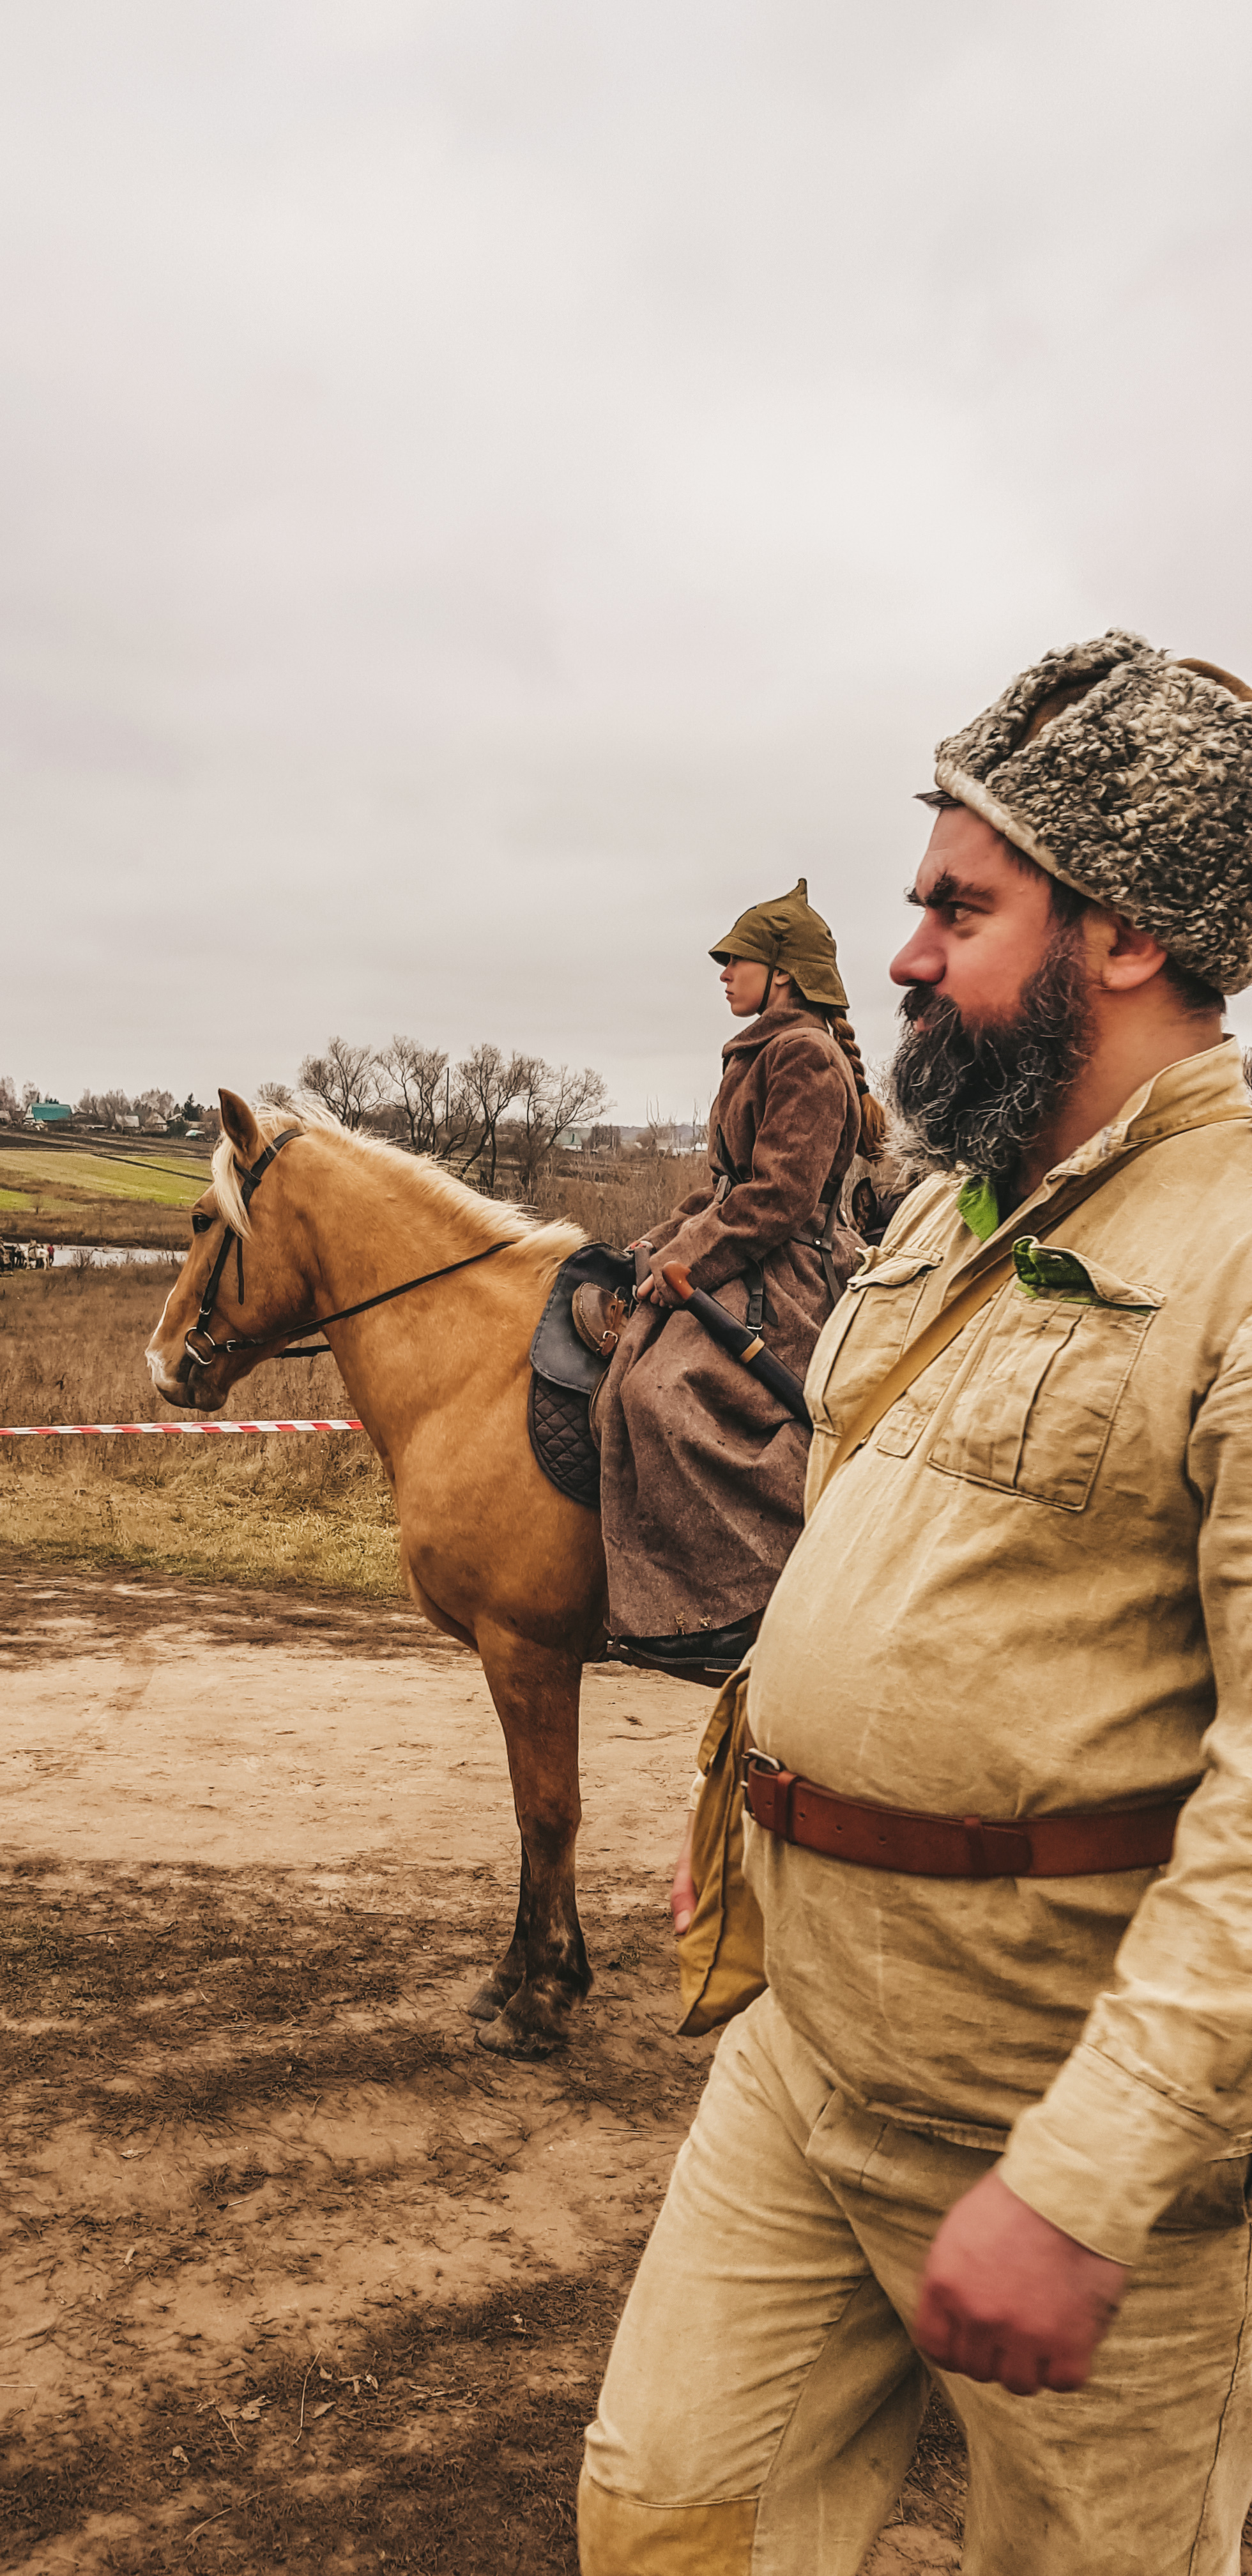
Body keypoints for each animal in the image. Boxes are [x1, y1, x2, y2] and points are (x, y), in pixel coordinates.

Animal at [144, 1087, 613, 2050]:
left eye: (204, 1218)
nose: (162, 1362)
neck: (483, 1372)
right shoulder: (519, 1660)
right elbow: (528, 1818)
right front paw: (516, 1976)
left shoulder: (531, 1651)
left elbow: (547, 1813)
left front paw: (546, 1994)